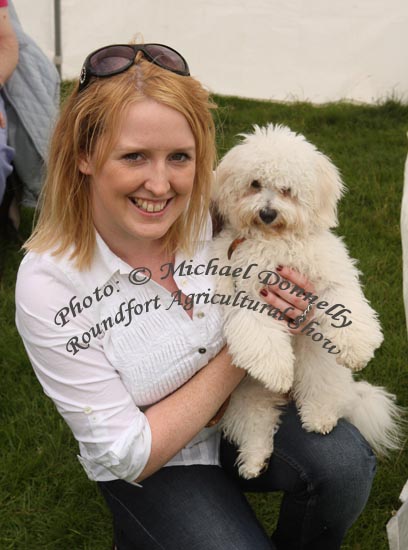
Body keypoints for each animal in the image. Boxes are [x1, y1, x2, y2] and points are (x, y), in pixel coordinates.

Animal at [212, 124, 404, 478]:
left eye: (287, 189)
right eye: (255, 184)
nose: (267, 213)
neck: (275, 240)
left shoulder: (329, 277)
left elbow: (346, 303)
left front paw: (358, 348)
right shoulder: (246, 293)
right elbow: (259, 333)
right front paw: (275, 369)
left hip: (323, 370)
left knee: (321, 395)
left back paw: (319, 418)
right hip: (245, 396)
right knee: (256, 424)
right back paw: (254, 460)